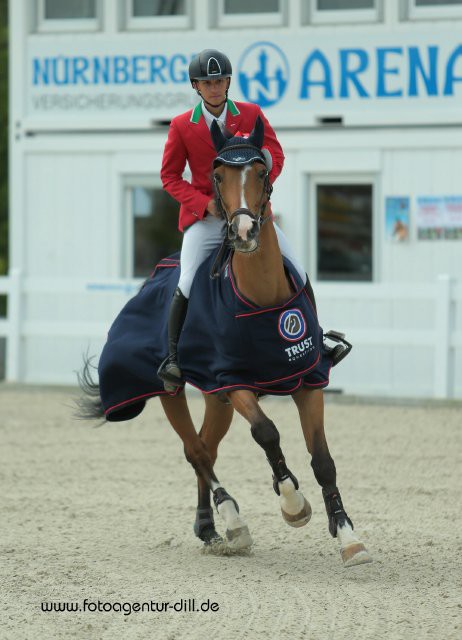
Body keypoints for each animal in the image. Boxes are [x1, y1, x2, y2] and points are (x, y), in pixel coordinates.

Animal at [78, 115, 372, 564]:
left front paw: (347, 536)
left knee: (206, 446)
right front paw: (292, 505)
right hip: (173, 391)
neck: (261, 294)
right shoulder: (233, 379)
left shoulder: (308, 379)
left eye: (263, 172)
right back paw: (233, 521)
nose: (245, 231)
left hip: (216, 399)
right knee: (195, 450)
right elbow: (267, 433)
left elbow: (323, 460)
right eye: (217, 175)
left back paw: (210, 529)